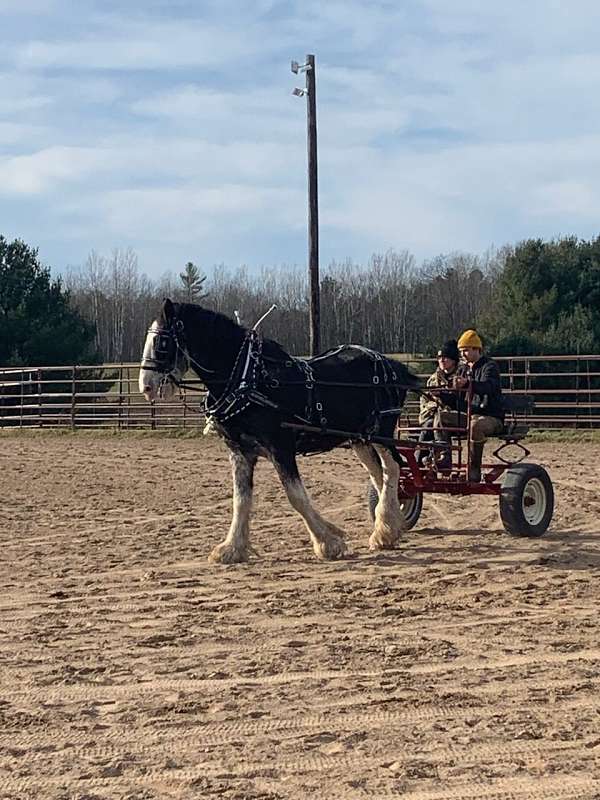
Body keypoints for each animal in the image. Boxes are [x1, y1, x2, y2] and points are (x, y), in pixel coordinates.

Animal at [139, 296, 418, 564]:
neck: (248, 379)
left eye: (161, 341)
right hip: (359, 439)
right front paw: (232, 548)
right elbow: (241, 500)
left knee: (393, 468)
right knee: (378, 474)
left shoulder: (280, 447)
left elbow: (295, 496)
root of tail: (392, 365)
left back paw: (387, 527)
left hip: (381, 431)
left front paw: (328, 543)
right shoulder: (240, 451)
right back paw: (387, 530)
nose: (146, 387)